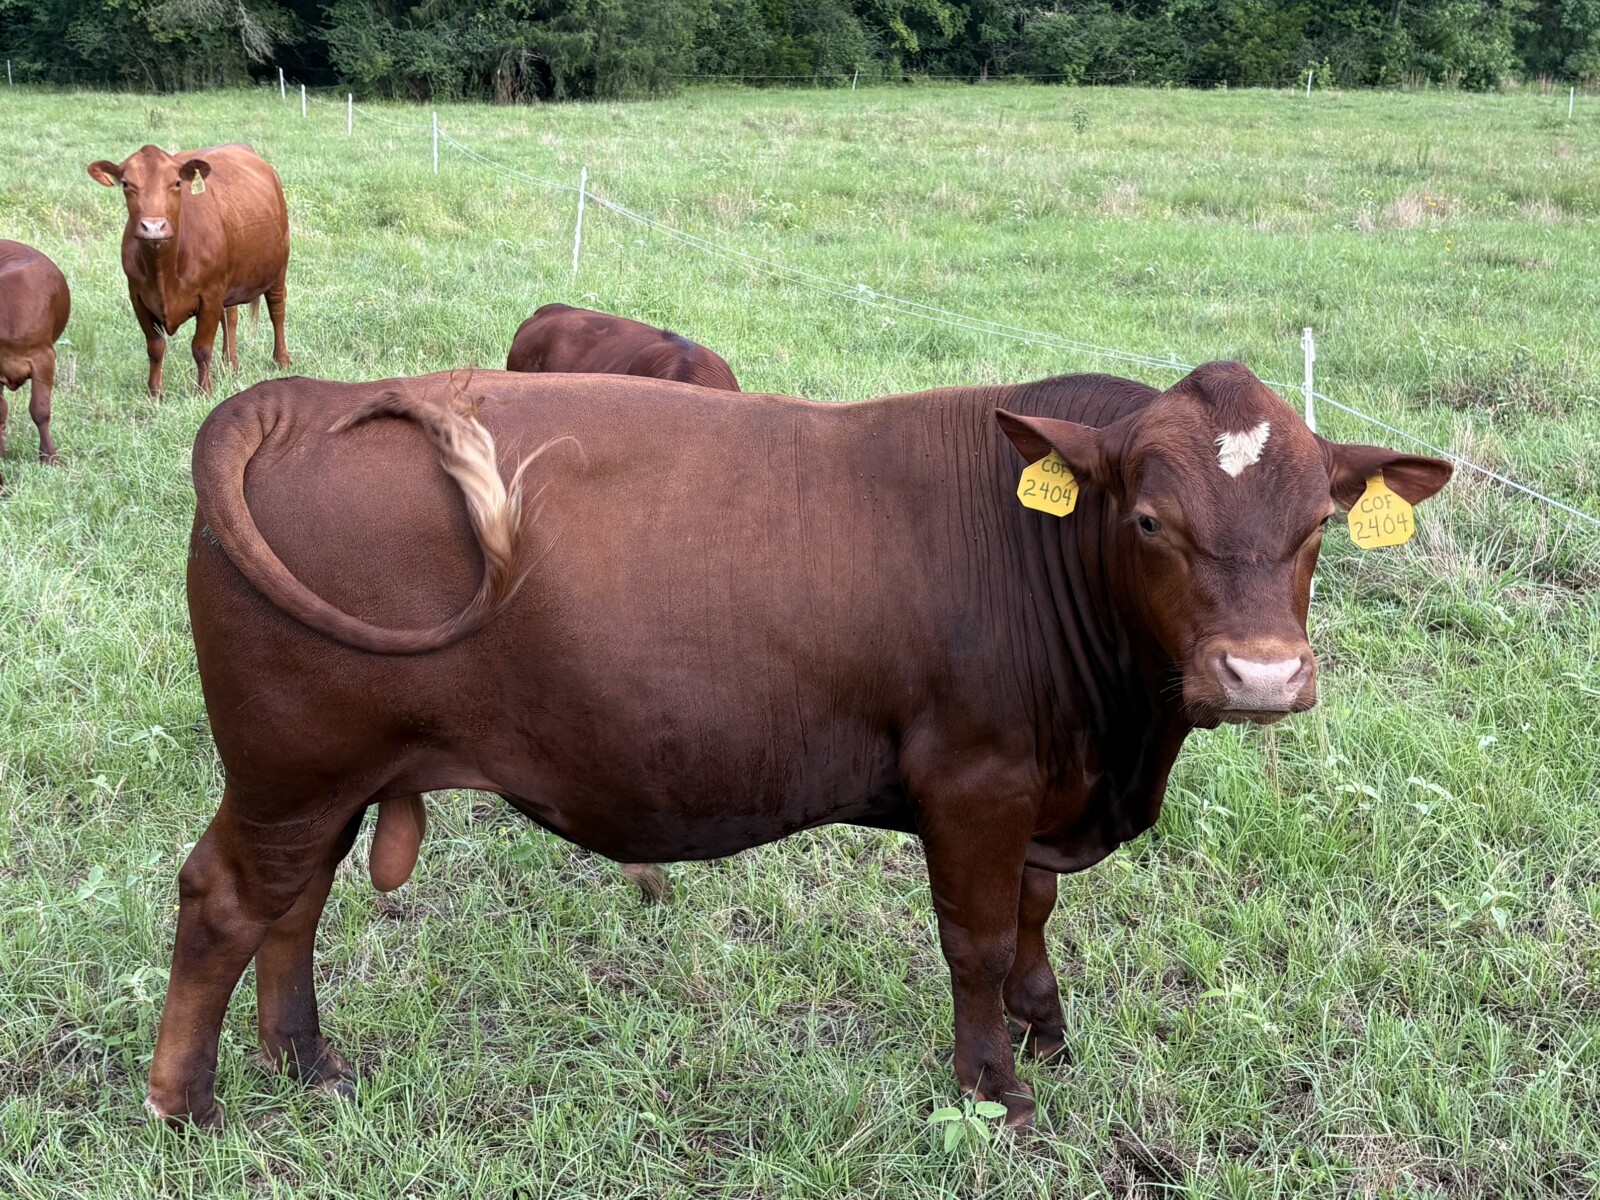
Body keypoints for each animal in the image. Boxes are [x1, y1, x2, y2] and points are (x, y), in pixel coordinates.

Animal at [87, 144, 291, 395]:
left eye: (176, 183)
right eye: (126, 184)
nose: (153, 227)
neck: (163, 271)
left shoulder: (210, 295)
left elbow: (201, 347)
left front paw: (204, 391)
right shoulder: (137, 296)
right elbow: (155, 347)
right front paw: (154, 393)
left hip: (279, 266)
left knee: (277, 309)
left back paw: (282, 360)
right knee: (230, 316)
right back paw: (230, 365)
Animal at [147, 362, 1451, 1130]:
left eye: (1316, 525)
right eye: (1147, 520)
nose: (1261, 675)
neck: (1118, 742)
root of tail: (305, 394)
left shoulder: (1042, 789)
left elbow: (1033, 919)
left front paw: (1049, 1032)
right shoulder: (973, 780)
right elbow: (976, 940)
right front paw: (994, 1089)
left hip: (327, 776)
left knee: (295, 904)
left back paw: (303, 1061)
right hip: (293, 763)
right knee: (226, 898)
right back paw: (186, 1103)